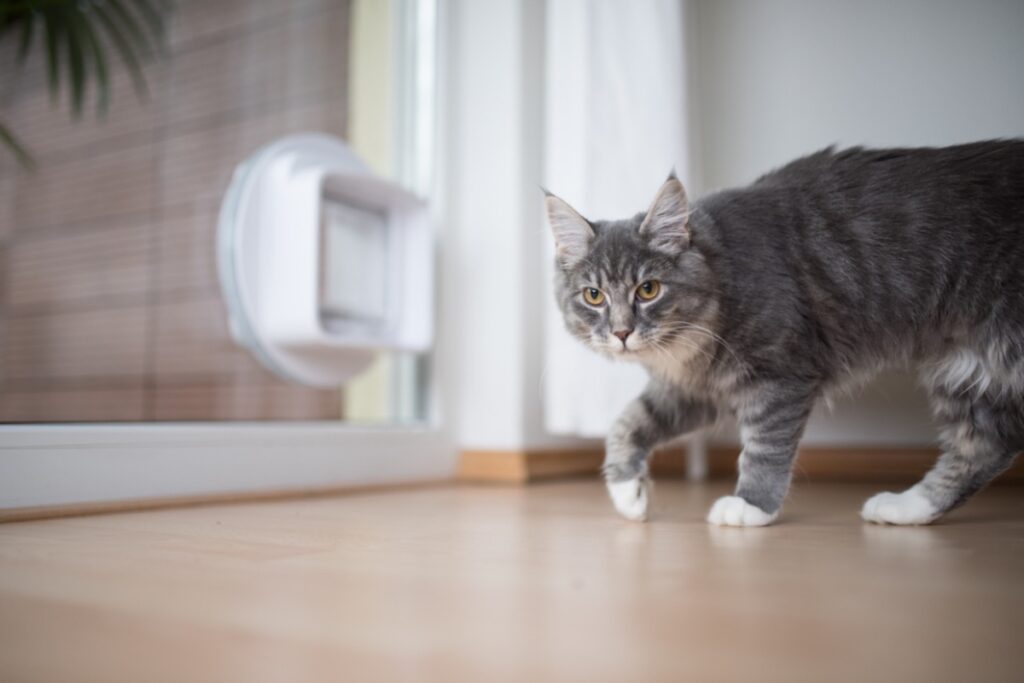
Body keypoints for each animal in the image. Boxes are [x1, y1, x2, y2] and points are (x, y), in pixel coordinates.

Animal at [548, 137, 1024, 524]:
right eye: (594, 296)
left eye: (648, 289)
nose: (621, 332)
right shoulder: (696, 388)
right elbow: (627, 423)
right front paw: (627, 493)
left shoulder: (781, 375)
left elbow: (765, 445)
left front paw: (751, 506)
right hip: (966, 372)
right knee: (985, 446)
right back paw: (907, 507)